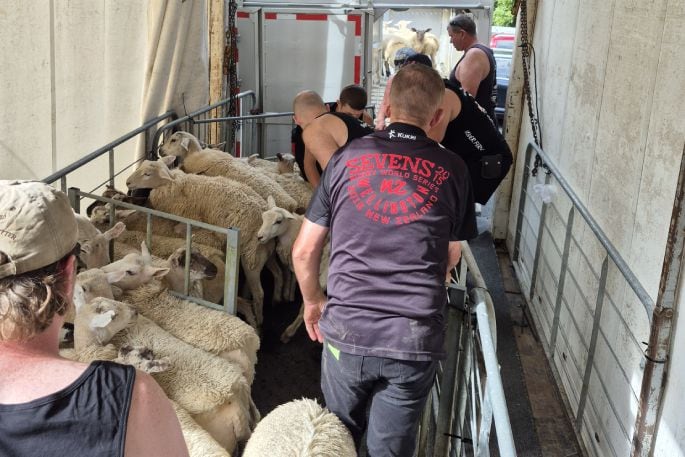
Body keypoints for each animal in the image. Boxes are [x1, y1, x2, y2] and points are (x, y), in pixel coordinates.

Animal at [127, 159, 276, 322]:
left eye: (147, 174)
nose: (127, 182)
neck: (176, 185)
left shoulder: (188, 221)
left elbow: (179, 231)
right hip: (262, 255)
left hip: (251, 258)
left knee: (259, 293)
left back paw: (259, 320)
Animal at [258, 196, 330, 342]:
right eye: (263, 217)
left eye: (278, 221)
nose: (259, 237)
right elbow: (289, 275)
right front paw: (287, 295)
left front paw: (288, 333)